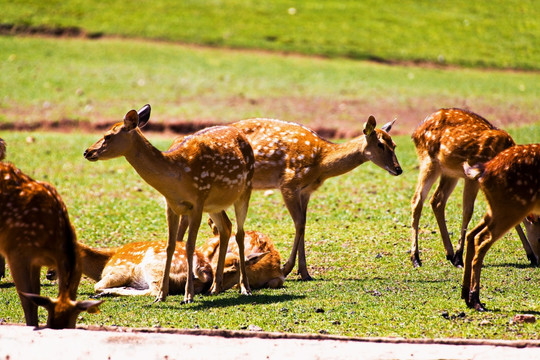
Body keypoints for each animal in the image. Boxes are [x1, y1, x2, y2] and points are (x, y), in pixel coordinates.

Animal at [0, 143, 102, 326]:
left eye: (71, 324)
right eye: (50, 323)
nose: (49, 274)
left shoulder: (34, 261)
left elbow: (35, 295)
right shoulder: (16, 252)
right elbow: (27, 300)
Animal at [83, 105, 255, 304]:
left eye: (108, 136)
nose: (87, 152)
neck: (176, 174)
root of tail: (241, 134)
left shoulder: (197, 201)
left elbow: (189, 245)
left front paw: (188, 296)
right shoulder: (171, 205)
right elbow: (170, 246)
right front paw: (161, 295)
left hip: (245, 189)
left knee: (240, 233)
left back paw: (245, 287)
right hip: (214, 205)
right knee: (226, 227)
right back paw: (214, 288)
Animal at [228, 116, 400, 280]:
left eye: (394, 145)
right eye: (380, 144)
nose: (399, 169)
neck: (321, 164)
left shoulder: (306, 191)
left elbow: (303, 224)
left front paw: (304, 273)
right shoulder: (288, 183)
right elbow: (299, 224)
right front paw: (286, 268)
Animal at [410, 108, 536, 268]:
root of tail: (415, 132)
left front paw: (531, 256)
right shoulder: (472, 177)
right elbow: (468, 211)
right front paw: (459, 258)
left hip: (450, 172)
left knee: (437, 200)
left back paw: (449, 253)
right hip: (429, 162)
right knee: (417, 199)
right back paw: (416, 258)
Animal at [460, 143, 540, 310]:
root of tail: (484, 170)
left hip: (496, 208)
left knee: (472, 234)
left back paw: (466, 295)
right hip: (511, 207)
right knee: (480, 238)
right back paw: (476, 300)